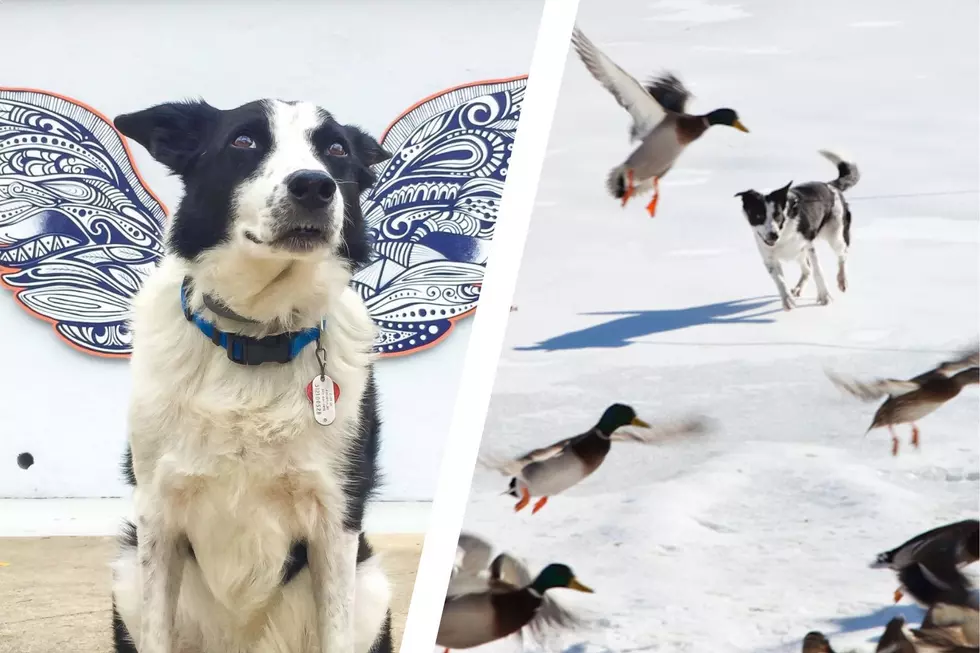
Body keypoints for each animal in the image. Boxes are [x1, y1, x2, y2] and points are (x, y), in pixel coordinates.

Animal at [109, 97, 392, 652]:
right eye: (244, 141)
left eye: (335, 150)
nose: (314, 185)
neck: (256, 338)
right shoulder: (157, 515)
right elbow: (155, 631)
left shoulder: (336, 518)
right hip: (129, 571)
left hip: (371, 584)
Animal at [736, 150, 856, 310]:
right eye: (758, 216)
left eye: (777, 215)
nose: (773, 235)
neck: (783, 232)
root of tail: (830, 186)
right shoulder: (769, 258)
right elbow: (780, 280)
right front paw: (787, 301)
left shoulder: (808, 245)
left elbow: (818, 271)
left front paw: (825, 297)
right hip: (798, 252)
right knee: (806, 269)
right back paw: (798, 288)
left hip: (836, 234)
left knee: (842, 255)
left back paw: (842, 280)